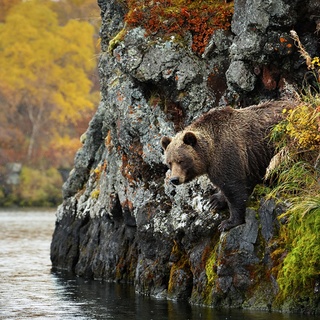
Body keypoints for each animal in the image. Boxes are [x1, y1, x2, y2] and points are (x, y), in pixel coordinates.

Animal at [161, 100, 296, 230]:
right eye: (169, 163)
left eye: (181, 160)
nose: (174, 179)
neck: (209, 154)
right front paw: (214, 200)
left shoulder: (229, 155)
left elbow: (234, 189)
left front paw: (228, 222)